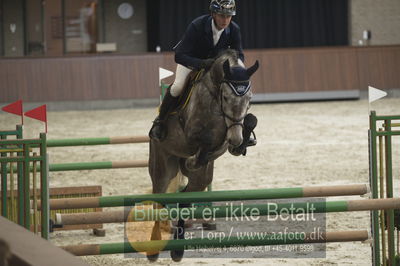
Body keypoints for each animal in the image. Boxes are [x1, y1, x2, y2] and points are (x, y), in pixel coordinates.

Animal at [148, 48, 258, 260]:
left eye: (249, 99)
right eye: (226, 98)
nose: (236, 140)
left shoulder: (228, 138)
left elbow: (249, 121)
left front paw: (243, 141)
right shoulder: (192, 134)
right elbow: (206, 140)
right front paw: (193, 159)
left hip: (201, 180)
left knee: (185, 199)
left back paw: (178, 250)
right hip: (162, 167)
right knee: (159, 199)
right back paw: (154, 250)